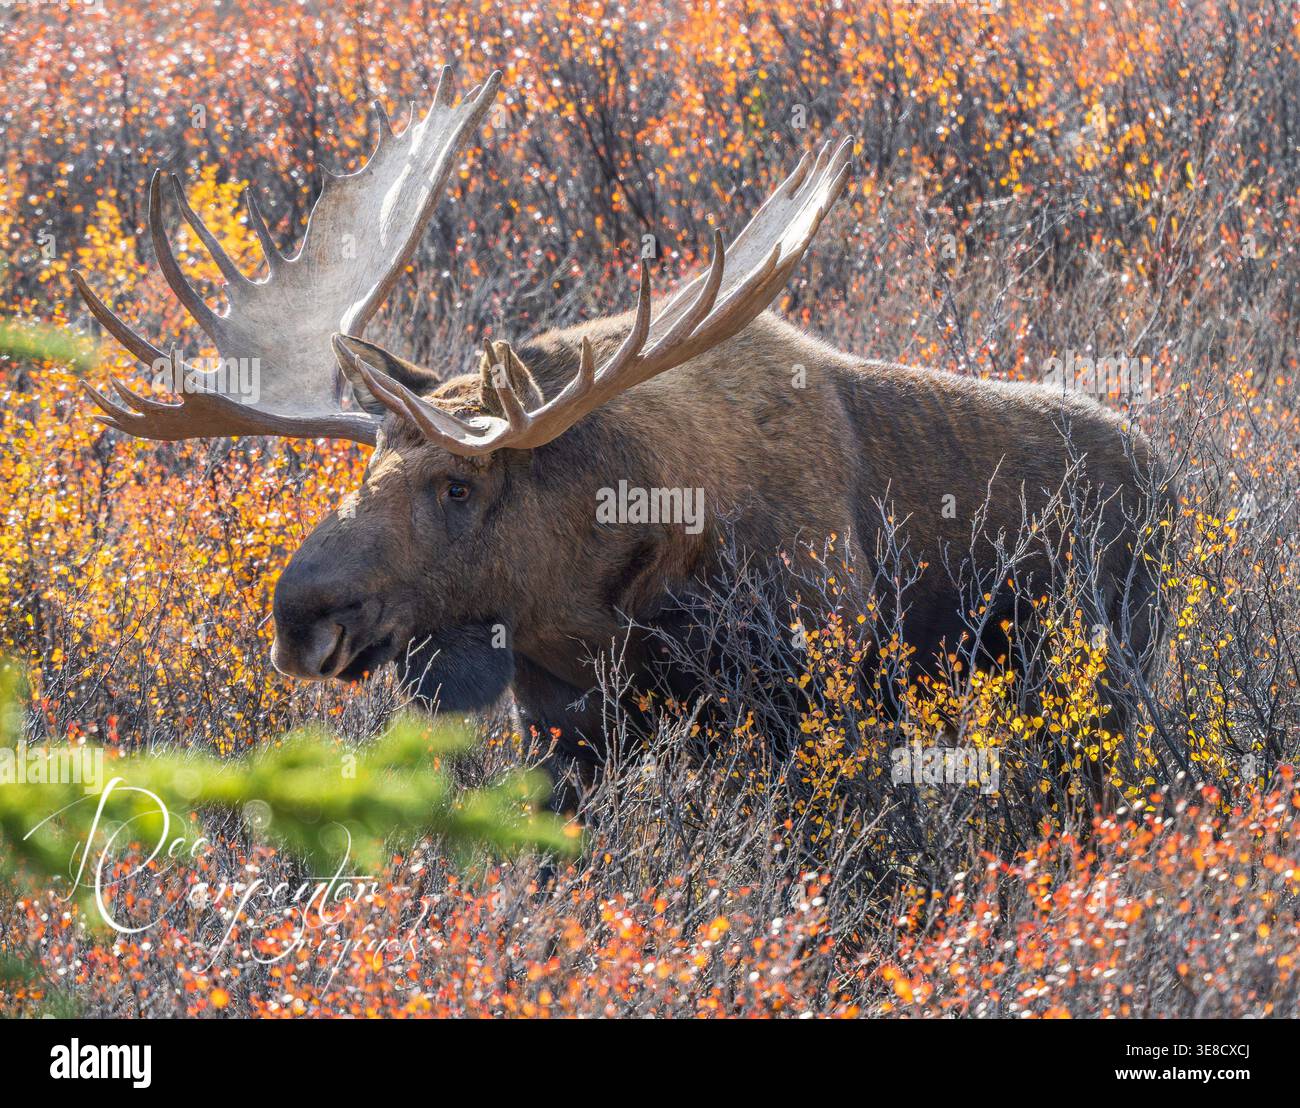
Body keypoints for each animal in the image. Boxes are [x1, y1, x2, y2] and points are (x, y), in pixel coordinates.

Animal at [74, 67, 1170, 810]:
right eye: (371, 466)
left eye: (459, 485)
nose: (299, 612)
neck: (601, 592)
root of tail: (1168, 475)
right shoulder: (562, 721)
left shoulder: (815, 693)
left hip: (1107, 668)